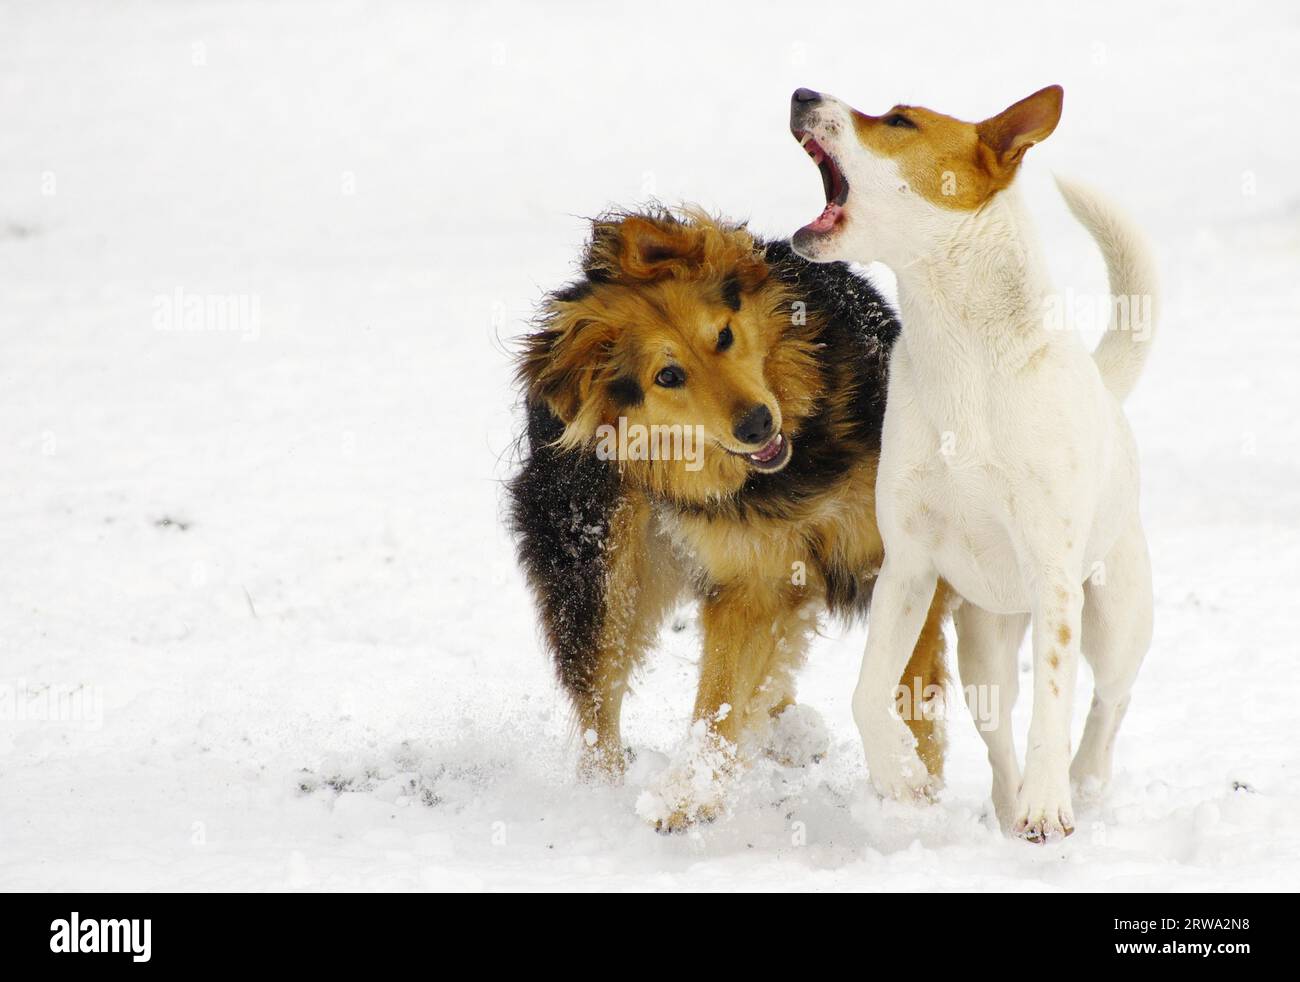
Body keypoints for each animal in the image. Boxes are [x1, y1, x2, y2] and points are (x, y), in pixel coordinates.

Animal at [504, 209, 946, 827]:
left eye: (724, 336)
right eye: (667, 376)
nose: (758, 425)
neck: (795, 468)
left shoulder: (904, 556)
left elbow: (905, 686)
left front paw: (913, 788)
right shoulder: (749, 580)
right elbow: (718, 701)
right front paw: (690, 793)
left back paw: (789, 732)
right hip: (601, 568)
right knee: (599, 705)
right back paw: (603, 795)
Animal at [790, 84, 1159, 842]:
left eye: (899, 120)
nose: (802, 94)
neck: (958, 349)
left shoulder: (1054, 580)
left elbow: (1055, 703)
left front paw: (1050, 804)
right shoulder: (907, 567)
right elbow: (868, 693)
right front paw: (898, 776)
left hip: (1115, 618)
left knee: (1110, 700)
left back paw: (1079, 782)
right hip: (984, 646)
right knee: (997, 733)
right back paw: (1009, 808)